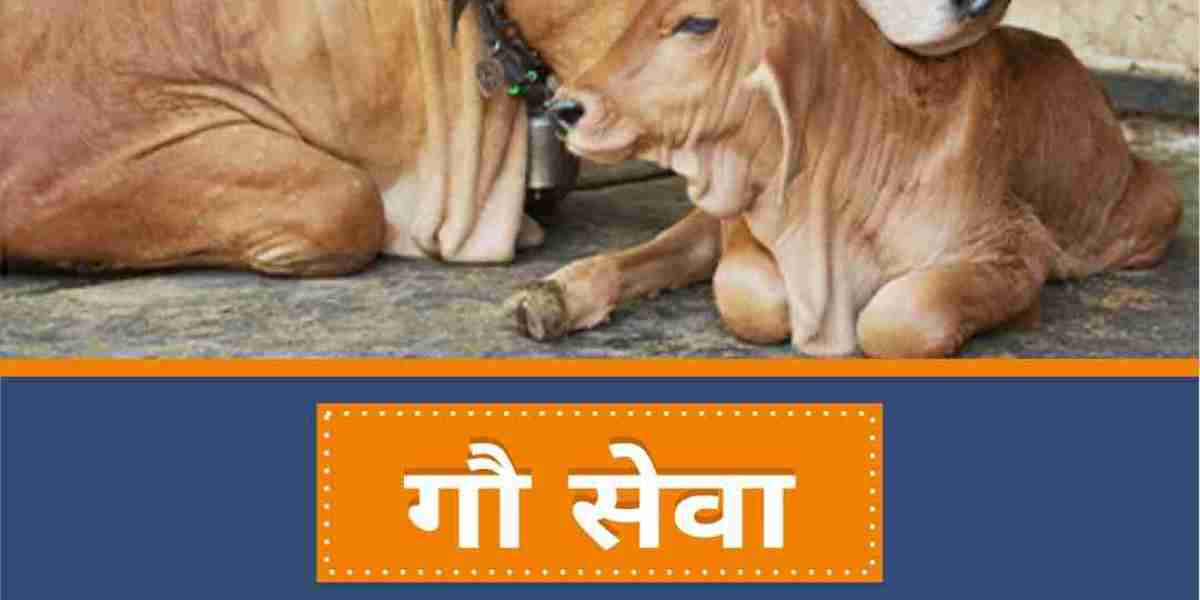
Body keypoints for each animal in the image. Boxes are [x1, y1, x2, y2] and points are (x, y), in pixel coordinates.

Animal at [505, 0, 1183, 358]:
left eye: (698, 23)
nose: (566, 108)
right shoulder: (748, 224)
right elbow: (749, 295)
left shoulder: (1011, 243)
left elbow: (897, 318)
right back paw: (553, 297)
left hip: (1156, 204)